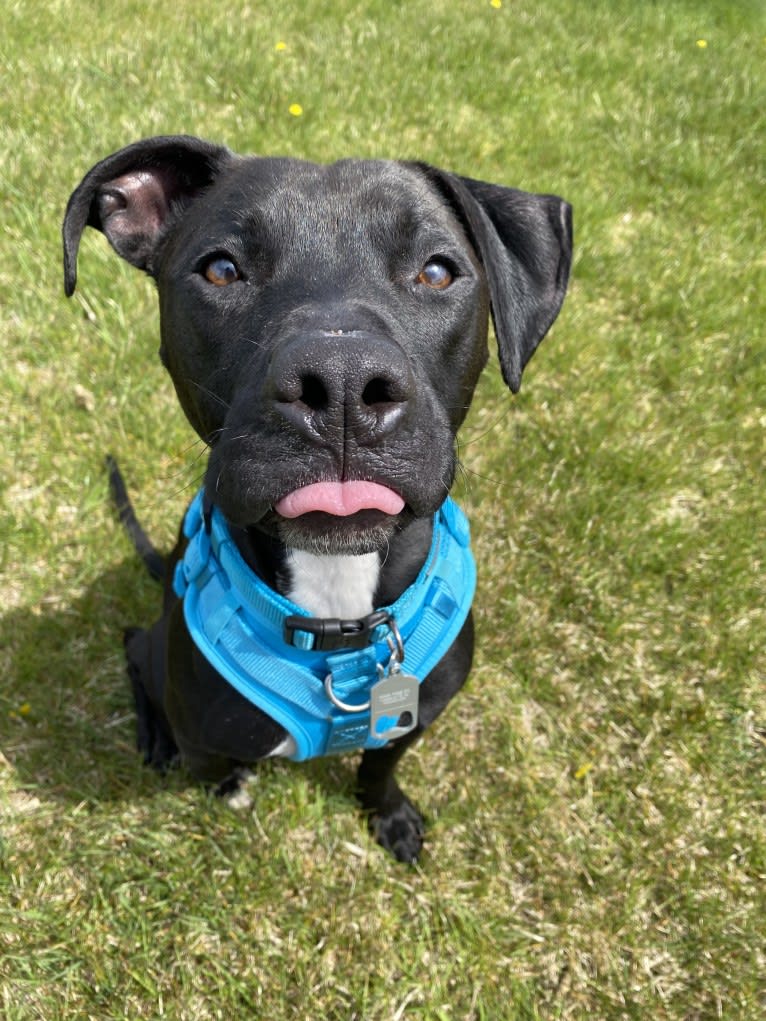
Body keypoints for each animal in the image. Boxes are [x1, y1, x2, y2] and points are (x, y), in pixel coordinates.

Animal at [63, 135, 571, 861]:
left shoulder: (416, 712)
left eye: (437, 272)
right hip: (156, 648)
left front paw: (388, 813)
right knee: (134, 646)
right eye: (222, 269)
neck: (338, 612)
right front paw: (231, 784)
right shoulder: (207, 729)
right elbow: (220, 764)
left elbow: (380, 762)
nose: (342, 382)